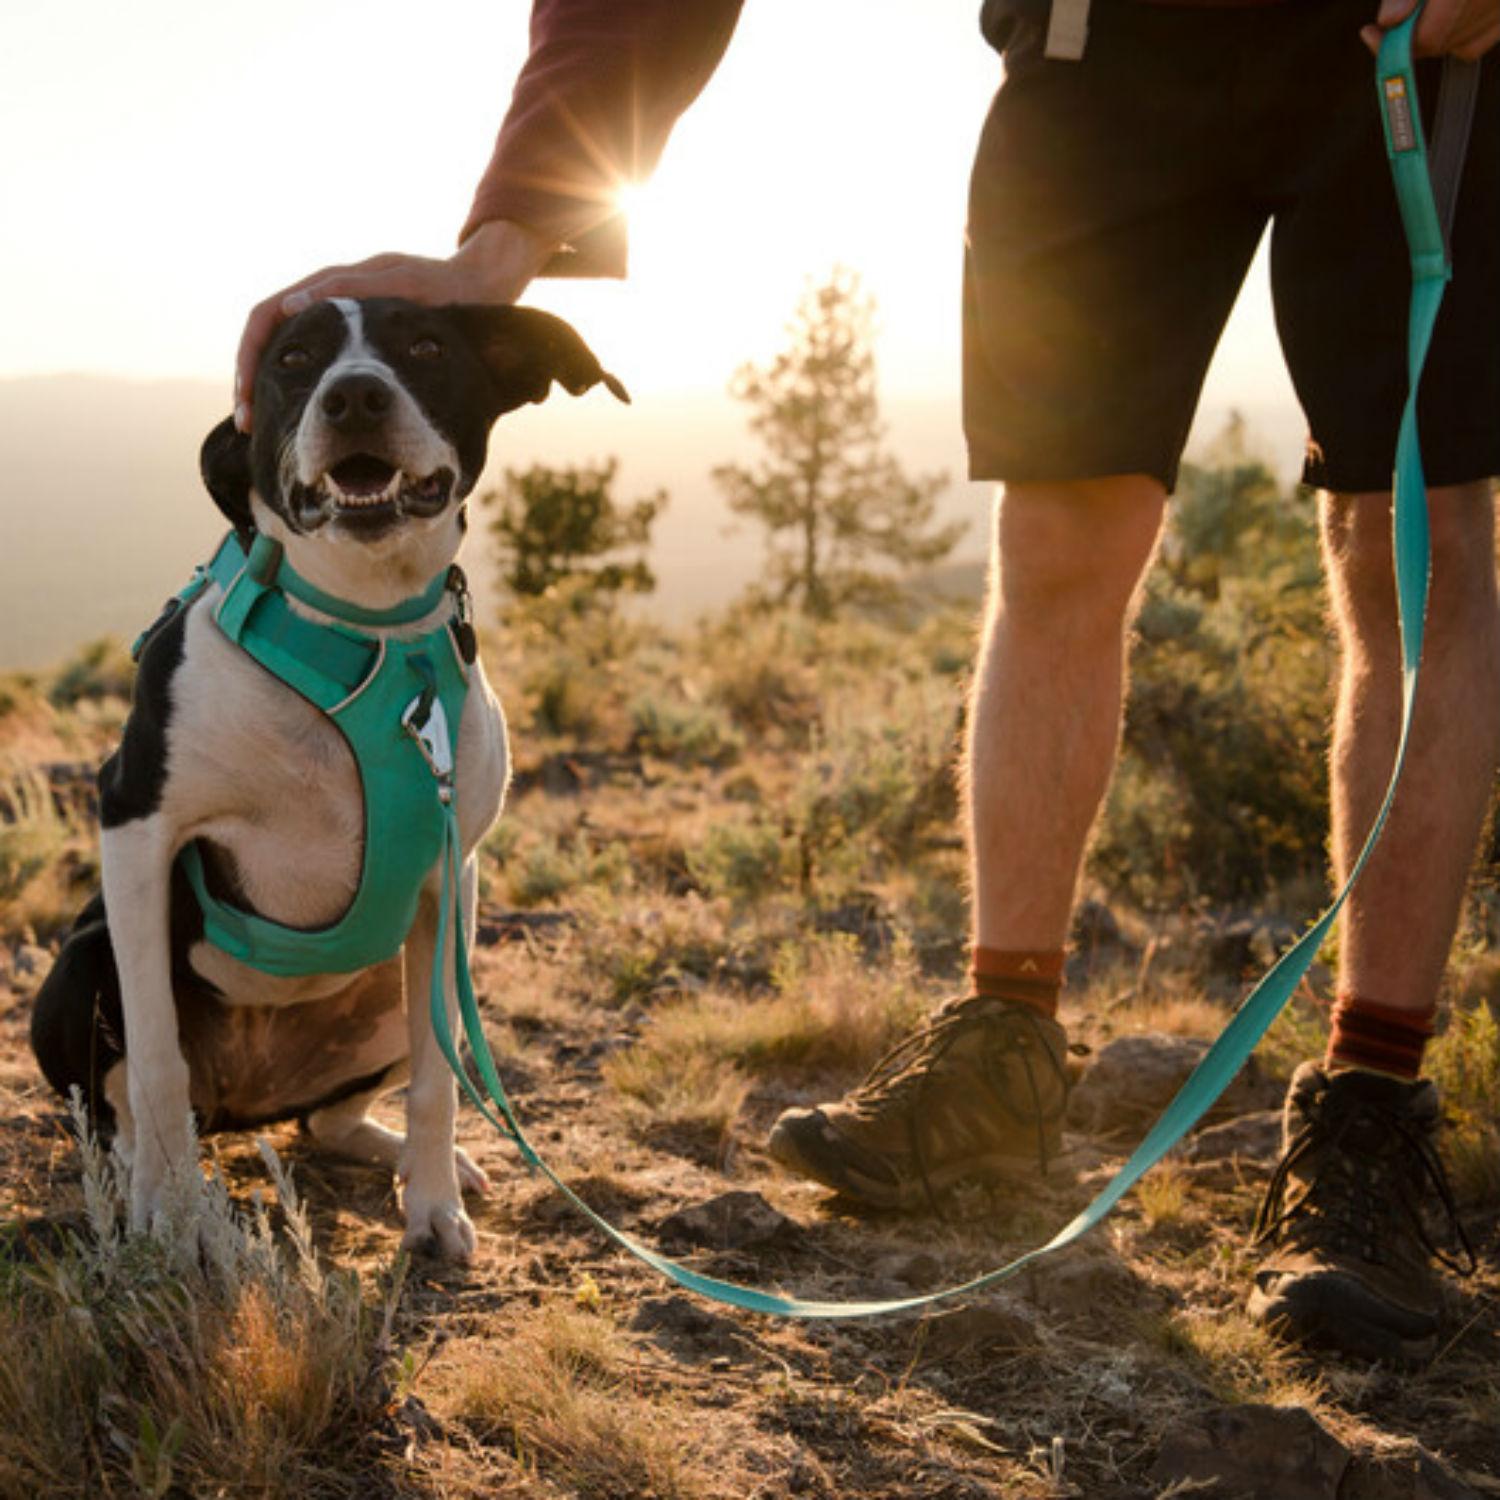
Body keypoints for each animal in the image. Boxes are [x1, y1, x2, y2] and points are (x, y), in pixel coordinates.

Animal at [29, 298, 627, 1260]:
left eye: (425, 345)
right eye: (292, 359)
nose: (353, 397)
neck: (362, 626)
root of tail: (248, 1102)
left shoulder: (450, 879)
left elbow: (440, 1077)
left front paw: (431, 1205)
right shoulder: (135, 825)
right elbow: (156, 1059)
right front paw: (171, 1213)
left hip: (404, 982)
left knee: (336, 1116)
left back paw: (410, 1157)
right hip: (79, 970)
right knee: (128, 1107)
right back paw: (155, 1176)